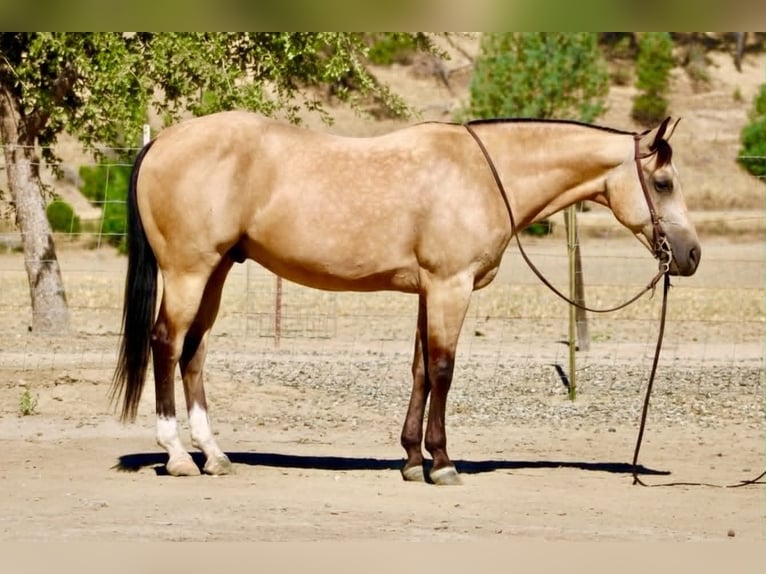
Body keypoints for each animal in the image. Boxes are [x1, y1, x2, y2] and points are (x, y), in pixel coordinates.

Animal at [110, 111, 700, 485]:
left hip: (214, 272)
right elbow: (442, 369)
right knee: (166, 344)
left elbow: (419, 370)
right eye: (663, 182)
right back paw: (178, 456)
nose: (691, 255)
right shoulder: (449, 286)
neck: (484, 175)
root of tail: (161, 142)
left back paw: (213, 455)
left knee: (194, 351)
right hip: (188, 271)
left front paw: (412, 460)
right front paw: (442, 462)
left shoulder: (427, 291)